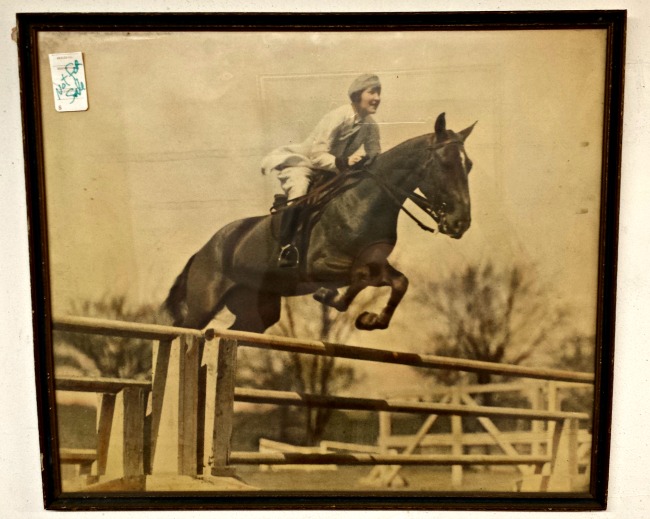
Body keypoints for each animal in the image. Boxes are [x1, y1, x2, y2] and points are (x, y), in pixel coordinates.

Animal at [161, 111, 476, 336]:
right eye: (446, 163)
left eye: (469, 165)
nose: (460, 222)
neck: (367, 202)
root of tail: (202, 251)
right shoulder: (319, 265)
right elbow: (359, 276)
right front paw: (330, 296)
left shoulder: (377, 263)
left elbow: (399, 282)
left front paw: (370, 319)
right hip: (202, 306)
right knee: (182, 331)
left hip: (258, 309)